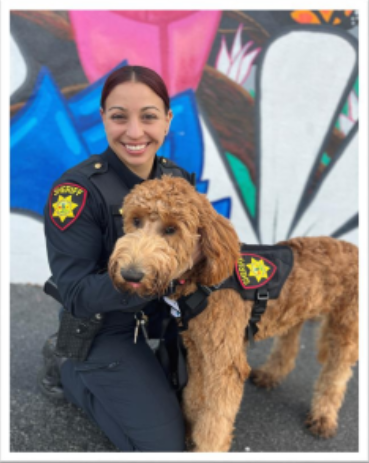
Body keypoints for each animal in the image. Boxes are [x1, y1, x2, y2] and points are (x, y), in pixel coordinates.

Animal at [108, 177, 358, 454]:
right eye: (136, 221)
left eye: (171, 229)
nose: (130, 275)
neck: (204, 282)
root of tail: (353, 248)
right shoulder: (198, 353)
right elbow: (194, 397)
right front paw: (190, 430)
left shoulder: (224, 365)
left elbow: (215, 420)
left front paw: (205, 448)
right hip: (296, 309)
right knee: (289, 343)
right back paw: (272, 374)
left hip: (345, 325)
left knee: (337, 373)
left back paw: (323, 416)